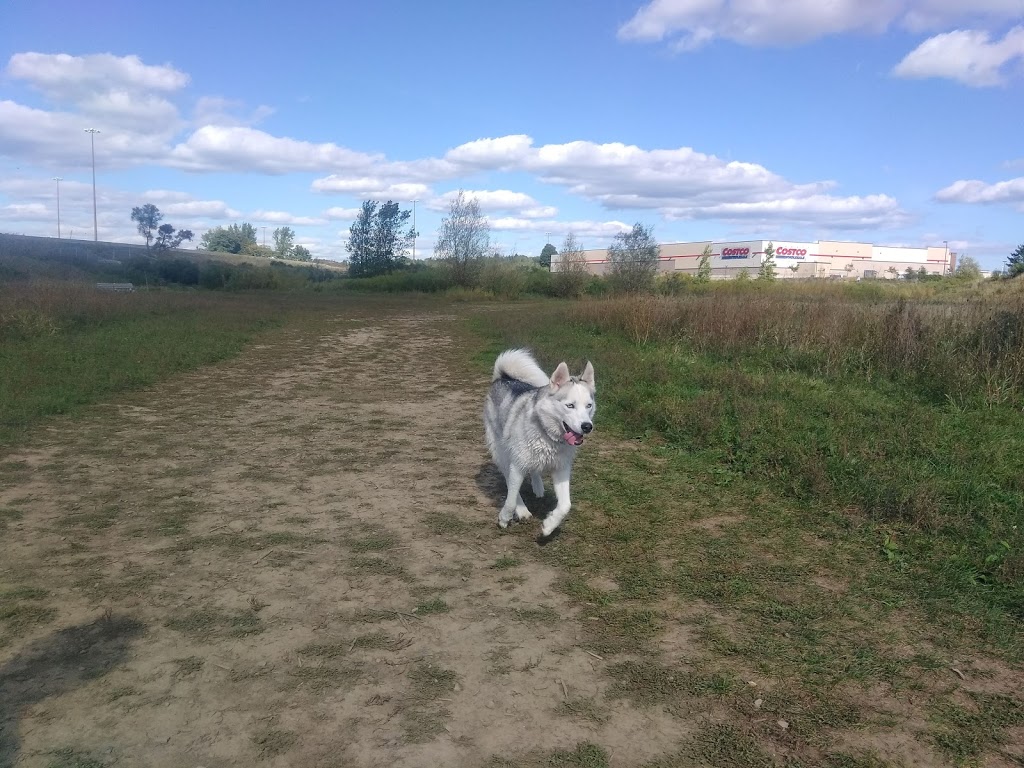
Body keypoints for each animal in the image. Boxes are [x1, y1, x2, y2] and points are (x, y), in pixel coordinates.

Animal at [483, 350, 598, 536]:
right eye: (570, 406)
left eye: (589, 405)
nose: (587, 426)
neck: (548, 436)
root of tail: (503, 378)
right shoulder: (517, 465)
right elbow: (511, 497)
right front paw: (505, 517)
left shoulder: (561, 469)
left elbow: (565, 505)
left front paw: (549, 525)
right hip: (501, 452)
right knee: (508, 478)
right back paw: (522, 510)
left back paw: (538, 487)